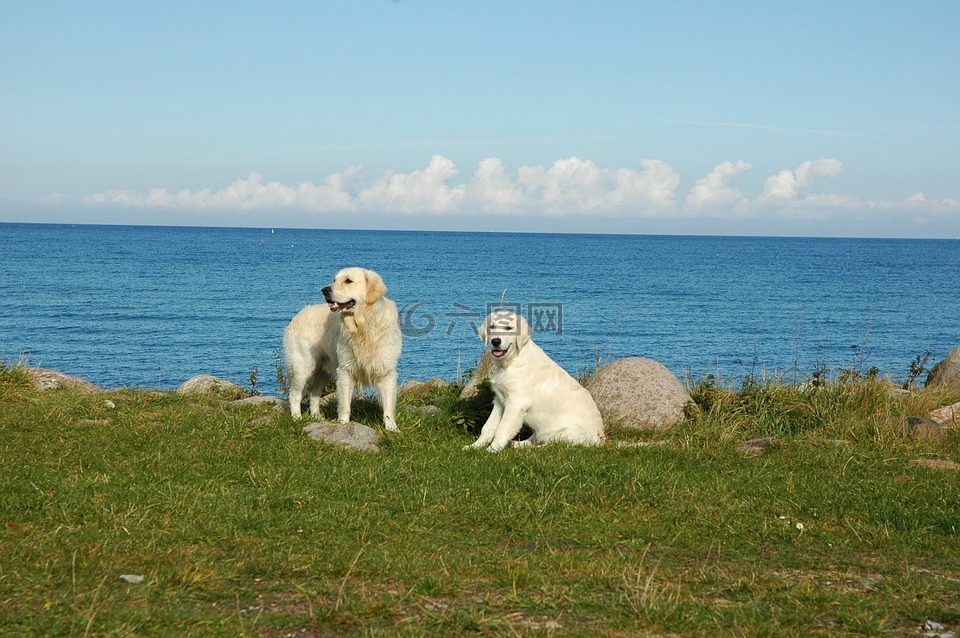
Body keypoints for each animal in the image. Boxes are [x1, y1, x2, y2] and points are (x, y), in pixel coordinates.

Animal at [284, 268, 404, 432]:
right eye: (334, 280)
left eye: (348, 281)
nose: (325, 290)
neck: (364, 325)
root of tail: (300, 313)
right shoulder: (346, 369)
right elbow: (345, 404)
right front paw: (343, 424)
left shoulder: (387, 371)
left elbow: (388, 404)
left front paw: (392, 428)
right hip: (302, 366)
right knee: (295, 395)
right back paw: (297, 418)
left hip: (324, 369)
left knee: (313, 392)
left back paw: (317, 417)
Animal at [464, 308, 600, 450]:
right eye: (492, 327)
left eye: (509, 328)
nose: (495, 341)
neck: (511, 362)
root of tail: (600, 440)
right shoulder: (500, 400)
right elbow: (488, 427)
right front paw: (475, 446)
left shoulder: (516, 403)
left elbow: (502, 429)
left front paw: (492, 449)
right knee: (535, 438)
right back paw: (516, 444)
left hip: (568, 432)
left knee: (550, 445)